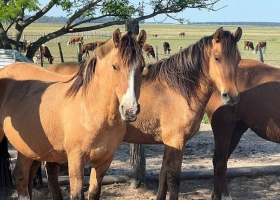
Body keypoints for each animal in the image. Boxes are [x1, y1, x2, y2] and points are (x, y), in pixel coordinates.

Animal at [0, 28, 148, 199]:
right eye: (115, 66)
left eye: (142, 67)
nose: (130, 110)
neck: (90, 109)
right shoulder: (76, 159)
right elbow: (77, 194)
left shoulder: (103, 161)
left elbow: (94, 193)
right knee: (22, 177)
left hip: (31, 147)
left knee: (24, 176)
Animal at [30, 26, 242, 200]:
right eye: (217, 58)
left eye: (238, 59)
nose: (231, 96)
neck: (178, 89)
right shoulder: (176, 141)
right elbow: (173, 180)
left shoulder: (169, 143)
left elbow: (163, 176)